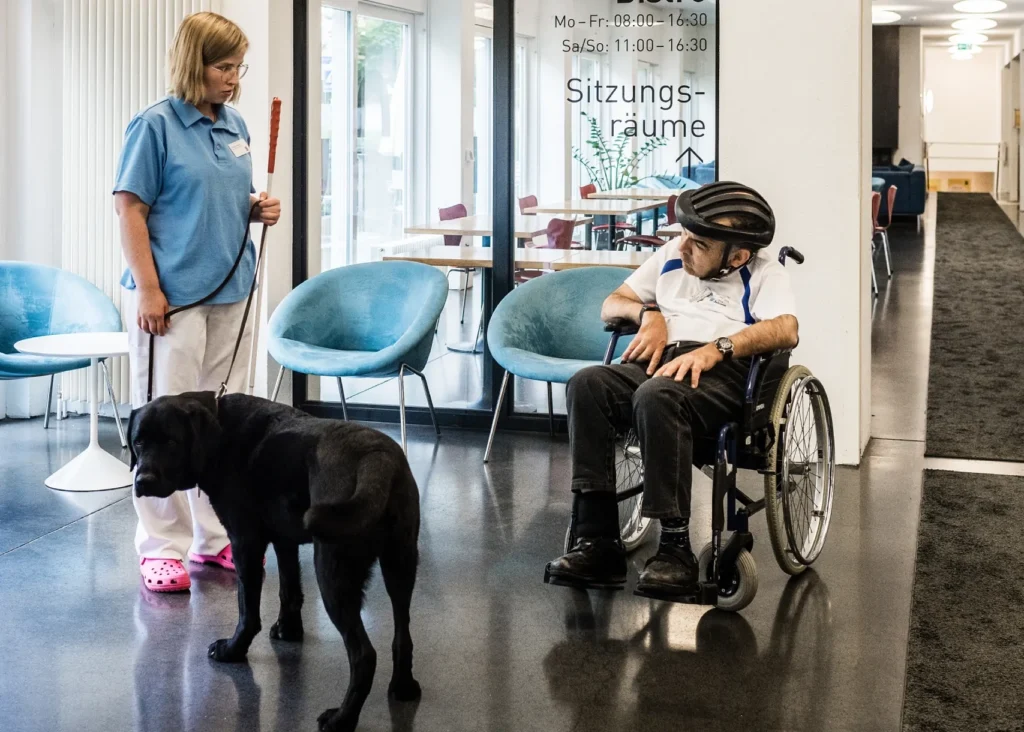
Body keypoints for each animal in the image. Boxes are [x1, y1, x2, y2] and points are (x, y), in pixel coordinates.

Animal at [129, 393, 423, 728]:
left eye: (171, 441)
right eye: (138, 442)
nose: (143, 480)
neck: (221, 433)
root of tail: (377, 460)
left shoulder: (245, 542)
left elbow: (247, 610)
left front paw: (233, 649)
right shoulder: (285, 540)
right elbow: (289, 590)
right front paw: (288, 631)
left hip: (332, 572)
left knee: (363, 654)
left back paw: (343, 717)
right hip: (401, 564)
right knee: (403, 635)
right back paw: (402, 686)